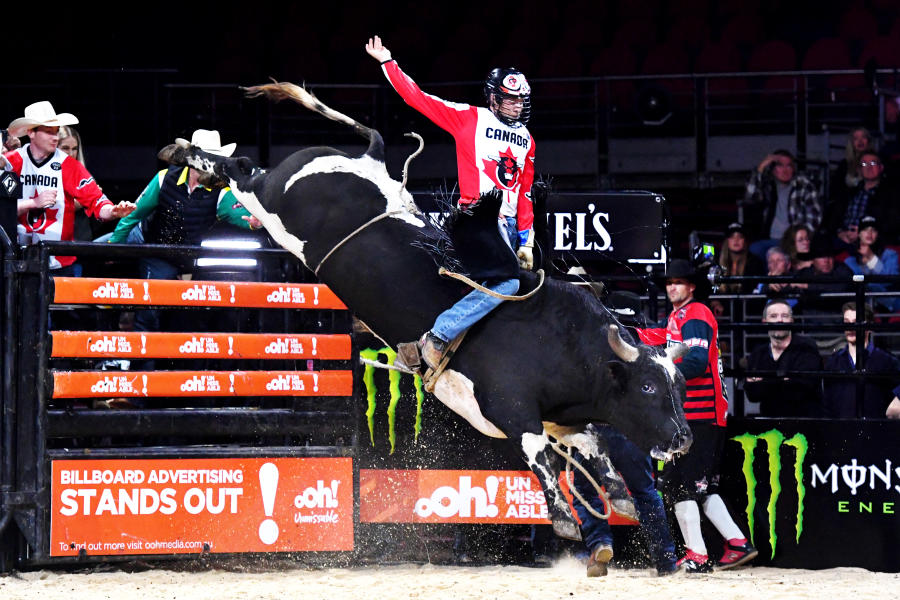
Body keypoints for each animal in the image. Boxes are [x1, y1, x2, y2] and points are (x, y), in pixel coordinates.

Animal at [167, 83, 688, 540]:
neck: (564, 344)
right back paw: (185, 154)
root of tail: (367, 160)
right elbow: (541, 454)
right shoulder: (510, 406)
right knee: (241, 168)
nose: (683, 438)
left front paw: (618, 494)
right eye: (646, 386)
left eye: (679, 386)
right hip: (271, 198)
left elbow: (593, 444)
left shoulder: (567, 417)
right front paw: (562, 518)